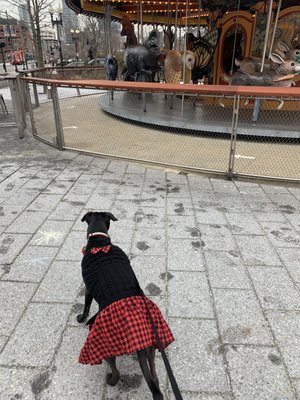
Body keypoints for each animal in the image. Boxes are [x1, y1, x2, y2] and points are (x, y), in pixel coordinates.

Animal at [78, 211, 173, 398]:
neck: (100, 241)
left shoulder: (88, 289)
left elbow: (86, 305)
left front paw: (81, 317)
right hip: (151, 348)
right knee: (154, 378)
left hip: (106, 344)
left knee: (116, 373)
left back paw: (110, 379)